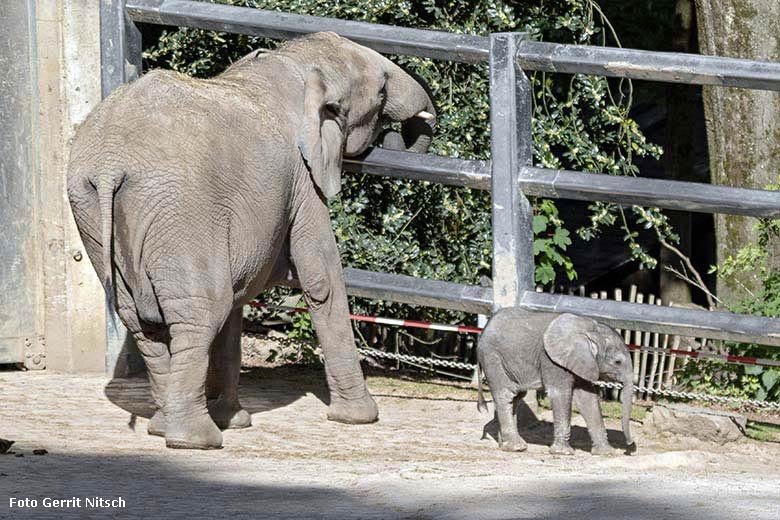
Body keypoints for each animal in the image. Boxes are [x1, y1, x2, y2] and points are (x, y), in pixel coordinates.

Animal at [68, 32, 436, 448]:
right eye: (382, 89)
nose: (393, 133)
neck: (295, 62)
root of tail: (111, 163)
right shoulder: (303, 178)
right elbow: (321, 278)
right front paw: (359, 418)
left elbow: (237, 297)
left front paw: (235, 419)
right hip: (181, 210)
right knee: (201, 310)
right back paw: (195, 439)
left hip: (91, 213)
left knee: (144, 321)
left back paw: (165, 426)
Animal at [476, 308, 632, 456]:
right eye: (617, 362)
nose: (629, 445)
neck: (590, 330)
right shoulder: (552, 360)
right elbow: (561, 394)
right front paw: (564, 452)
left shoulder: (582, 362)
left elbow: (588, 399)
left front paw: (607, 453)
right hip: (492, 357)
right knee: (506, 394)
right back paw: (516, 447)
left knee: (517, 396)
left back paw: (506, 444)